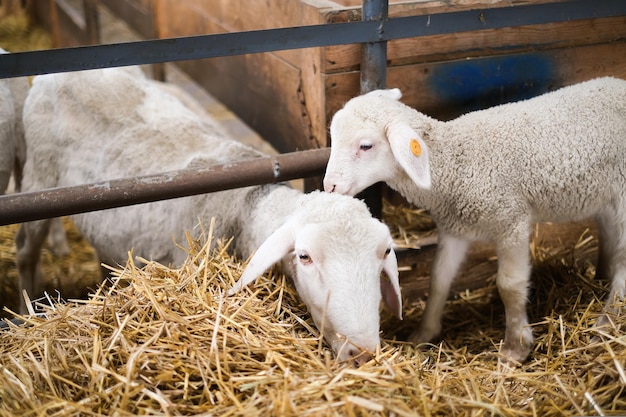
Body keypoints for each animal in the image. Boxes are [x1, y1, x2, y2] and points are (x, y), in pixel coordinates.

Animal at [18, 66, 400, 364]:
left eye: (384, 252)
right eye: (304, 257)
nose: (362, 352)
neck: (245, 205)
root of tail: (62, 70)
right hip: (39, 176)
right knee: (25, 250)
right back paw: (26, 309)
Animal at [324, 76, 624, 362]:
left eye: (365, 146)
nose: (329, 186)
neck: (457, 161)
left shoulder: (511, 220)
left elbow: (509, 285)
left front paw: (515, 347)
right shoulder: (454, 228)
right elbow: (439, 279)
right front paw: (422, 334)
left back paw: (606, 322)